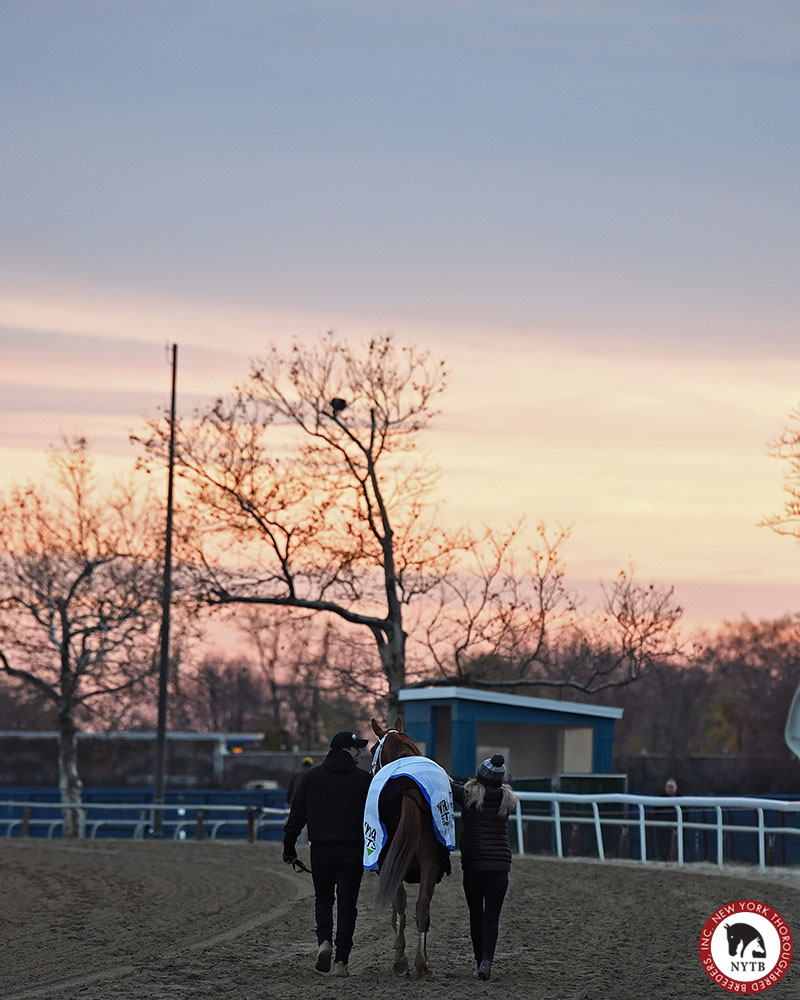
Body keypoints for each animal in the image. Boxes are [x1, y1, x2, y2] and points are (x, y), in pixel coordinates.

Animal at [368, 716, 454, 980]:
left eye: (373, 750)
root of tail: (409, 789)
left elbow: (397, 911)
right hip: (430, 863)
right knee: (422, 908)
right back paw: (421, 963)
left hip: (393, 862)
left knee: (403, 906)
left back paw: (401, 960)